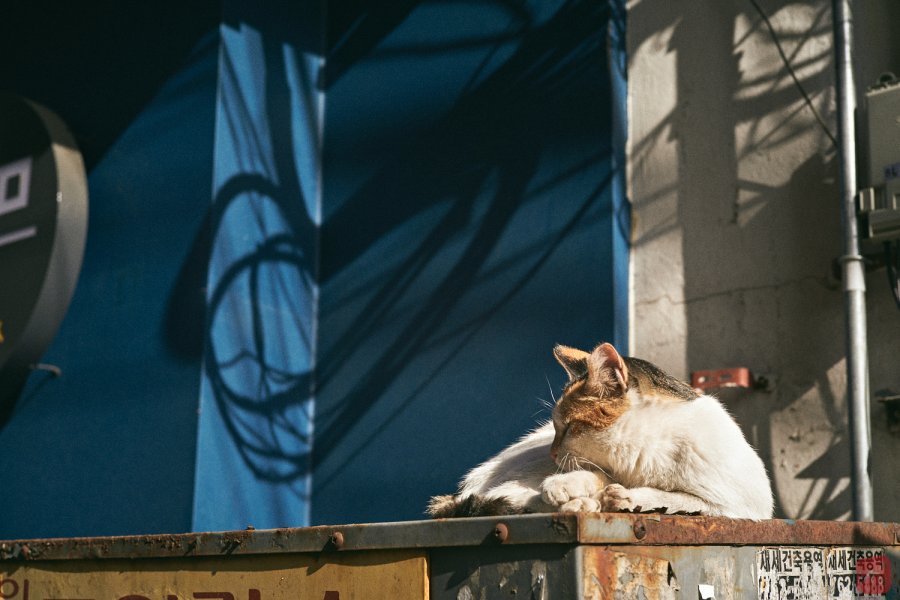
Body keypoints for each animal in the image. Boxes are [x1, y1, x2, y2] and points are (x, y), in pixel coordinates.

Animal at [428, 342, 772, 520]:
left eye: (568, 426)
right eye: (556, 426)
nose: (553, 452)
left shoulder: (740, 505)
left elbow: (682, 500)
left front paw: (626, 497)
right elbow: (598, 476)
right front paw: (575, 489)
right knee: (502, 496)